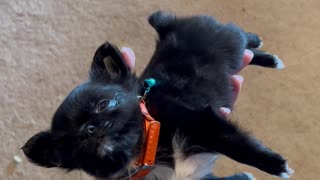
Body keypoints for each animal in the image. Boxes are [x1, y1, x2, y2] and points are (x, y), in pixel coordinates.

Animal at [22, 11, 292, 179]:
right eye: (70, 144)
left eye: (104, 104)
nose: (89, 129)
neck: (147, 149)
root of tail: (170, 26)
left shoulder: (201, 122)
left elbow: (235, 143)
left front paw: (275, 165)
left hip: (231, 42)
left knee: (243, 37)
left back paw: (266, 52)